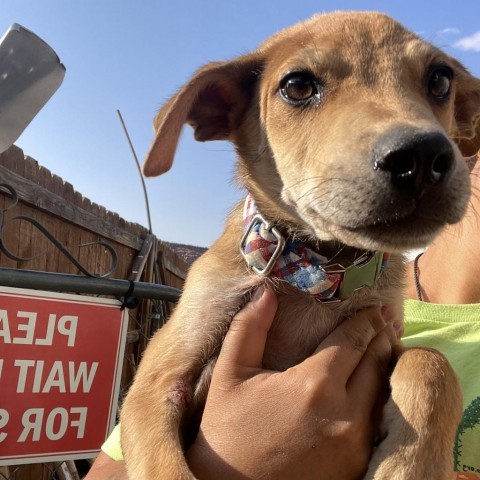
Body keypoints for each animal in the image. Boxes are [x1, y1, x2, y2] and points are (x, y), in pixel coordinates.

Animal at [121, 11, 480, 480]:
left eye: (439, 80)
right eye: (297, 86)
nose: (421, 157)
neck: (317, 274)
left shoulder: (387, 335)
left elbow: (431, 361)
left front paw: (411, 466)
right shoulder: (156, 382)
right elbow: (168, 470)